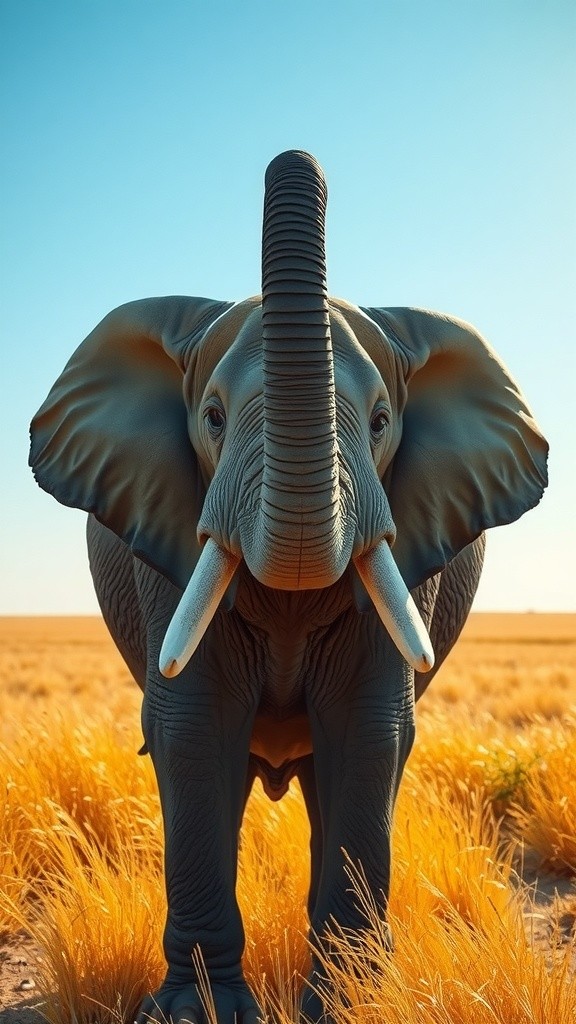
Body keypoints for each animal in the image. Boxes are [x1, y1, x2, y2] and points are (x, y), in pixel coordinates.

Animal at [29, 150, 548, 1023]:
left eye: (380, 422)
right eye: (210, 417)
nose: (294, 157)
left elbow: (369, 732)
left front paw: (349, 1006)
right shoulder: (163, 549)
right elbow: (194, 726)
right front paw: (195, 1014)